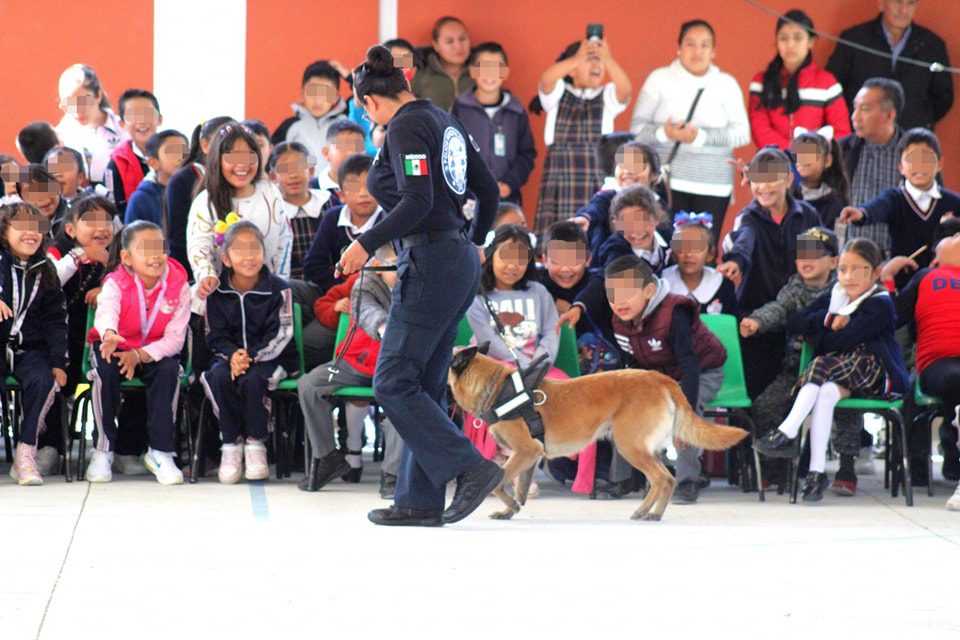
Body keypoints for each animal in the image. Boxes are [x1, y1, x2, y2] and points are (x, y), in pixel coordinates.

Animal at [448, 344, 752, 520]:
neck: (497, 388)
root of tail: (658, 377)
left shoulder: (525, 451)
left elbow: (498, 482)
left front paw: (505, 503)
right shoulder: (531, 456)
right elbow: (520, 488)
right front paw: (510, 509)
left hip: (630, 446)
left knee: (663, 479)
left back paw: (648, 513)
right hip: (643, 449)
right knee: (664, 479)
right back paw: (651, 511)